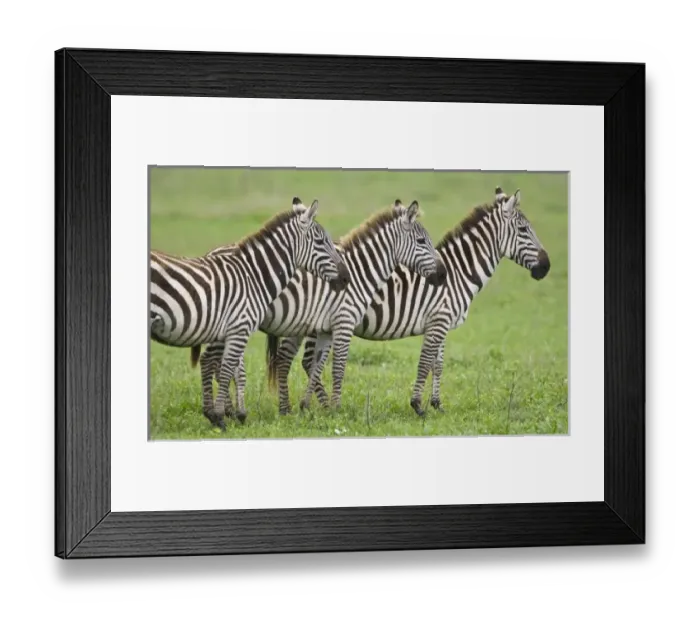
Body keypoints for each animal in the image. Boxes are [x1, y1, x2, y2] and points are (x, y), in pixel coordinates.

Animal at [150, 198, 349, 430]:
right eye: (320, 242)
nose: (346, 278)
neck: (253, 277)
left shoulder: (230, 330)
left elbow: (226, 369)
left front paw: (219, 414)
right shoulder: (239, 328)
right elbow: (227, 369)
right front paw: (220, 417)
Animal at [190, 199, 447, 415]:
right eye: (422, 241)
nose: (444, 275)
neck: (360, 272)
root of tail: (211, 252)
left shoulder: (326, 327)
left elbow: (317, 365)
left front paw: (310, 407)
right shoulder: (344, 322)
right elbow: (338, 367)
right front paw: (336, 410)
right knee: (217, 362)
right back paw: (225, 411)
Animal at [267, 187, 551, 417]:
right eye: (524, 230)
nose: (546, 267)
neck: (458, 273)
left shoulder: (442, 323)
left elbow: (438, 364)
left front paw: (437, 405)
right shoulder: (438, 321)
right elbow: (425, 363)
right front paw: (417, 406)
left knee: (289, 359)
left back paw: (295, 408)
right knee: (302, 360)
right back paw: (315, 406)